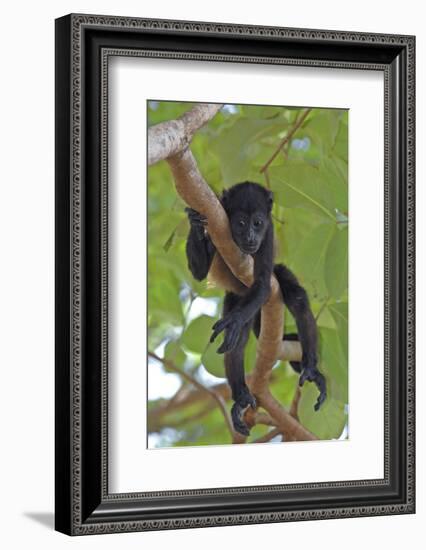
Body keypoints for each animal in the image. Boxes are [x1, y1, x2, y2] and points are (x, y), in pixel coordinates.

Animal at [186, 183, 326, 438]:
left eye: (258, 223)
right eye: (241, 223)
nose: (251, 237)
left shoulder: (268, 235)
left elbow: (262, 284)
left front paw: (233, 322)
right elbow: (199, 272)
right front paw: (194, 221)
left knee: (298, 300)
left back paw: (311, 368)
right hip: (235, 298)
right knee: (238, 341)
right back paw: (241, 396)